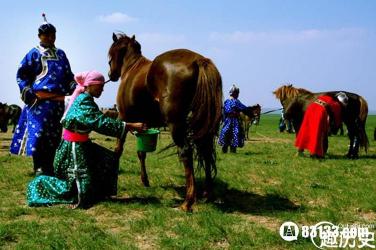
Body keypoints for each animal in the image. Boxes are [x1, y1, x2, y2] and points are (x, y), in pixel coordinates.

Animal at [107, 33, 223, 212]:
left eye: (111, 53)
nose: (110, 74)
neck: (132, 68)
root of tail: (198, 60)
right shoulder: (143, 125)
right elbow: (141, 153)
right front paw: (145, 180)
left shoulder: (123, 118)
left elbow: (118, 149)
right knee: (205, 150)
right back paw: (207, 194)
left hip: (176, 124)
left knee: (186, 152)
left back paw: (188, 202)